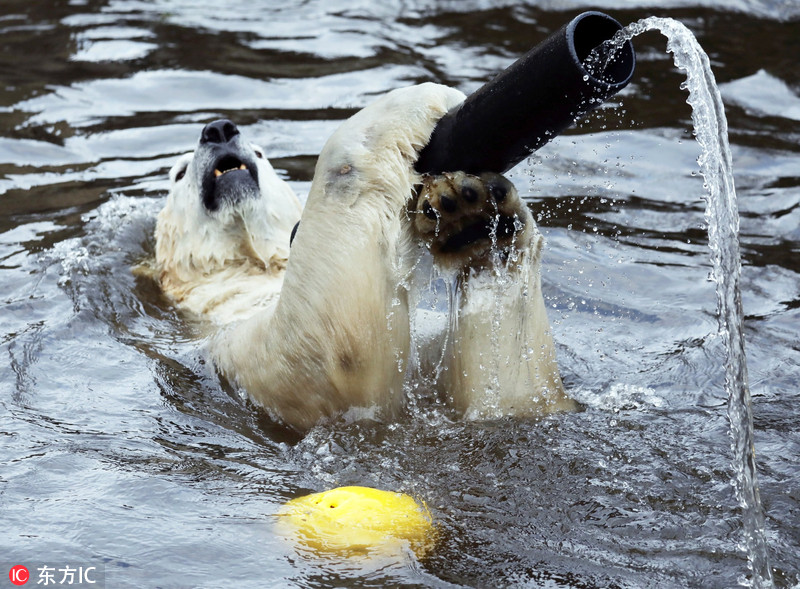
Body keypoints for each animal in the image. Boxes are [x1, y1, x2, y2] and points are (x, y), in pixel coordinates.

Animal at [153, 82, 572, 430]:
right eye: (178, 173)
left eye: (259, 152)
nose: (219, 129)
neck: (253, 266)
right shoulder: (232, 348)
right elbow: (329, 349)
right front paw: (417, 101)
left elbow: (513, 394)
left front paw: (471, 214)